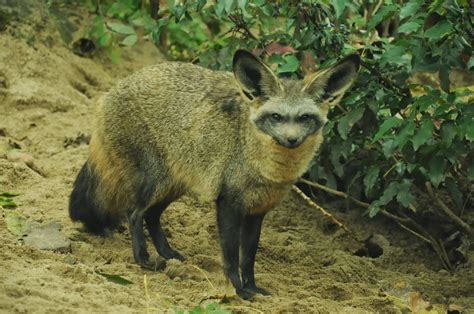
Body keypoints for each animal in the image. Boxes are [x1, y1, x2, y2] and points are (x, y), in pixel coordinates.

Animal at [69, 49, 360, 300]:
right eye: (276, 117)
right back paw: (143, 259)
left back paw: (168, 254)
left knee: (151, 216)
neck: (262, 166)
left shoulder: (257, 212)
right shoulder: (228, 203)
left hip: (174, 186)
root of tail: (111, 91)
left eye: (304, 118)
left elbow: (248, 258)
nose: (292, 140)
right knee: (134, 213)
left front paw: (252, 288)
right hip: (154, 183)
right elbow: (230, 257)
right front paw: (238, 291)